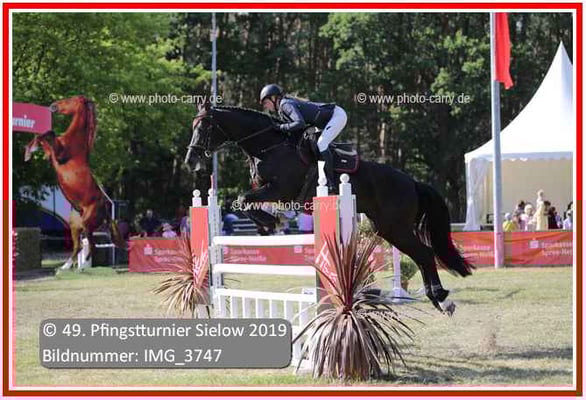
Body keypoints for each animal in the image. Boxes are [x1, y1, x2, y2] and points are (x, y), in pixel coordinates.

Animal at [24, 95, 126, 270]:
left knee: (91, 245)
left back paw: (84, 266)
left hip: (87, 223)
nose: (53, 105)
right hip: (74, 225)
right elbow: (44, 136)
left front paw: (30, 151)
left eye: (70, 100)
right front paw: (30, 150)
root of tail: (105, 207)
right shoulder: (53, 153)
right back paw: (65, 267)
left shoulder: (59, 154)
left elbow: (50, 133)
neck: (74, 140)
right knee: (78, 246)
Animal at [184, 103, 475, 315]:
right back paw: (438, 299)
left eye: (204, 127)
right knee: (420, 255)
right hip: (387, 229)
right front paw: (272, 221)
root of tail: (412, 182)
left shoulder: (281, 189)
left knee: (424, 253)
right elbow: (243, 201)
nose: (190, 160)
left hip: (396, 227)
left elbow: (243, 198)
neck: (267, 146)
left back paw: (441, 298)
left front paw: (274, 222)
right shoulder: (269, 190)